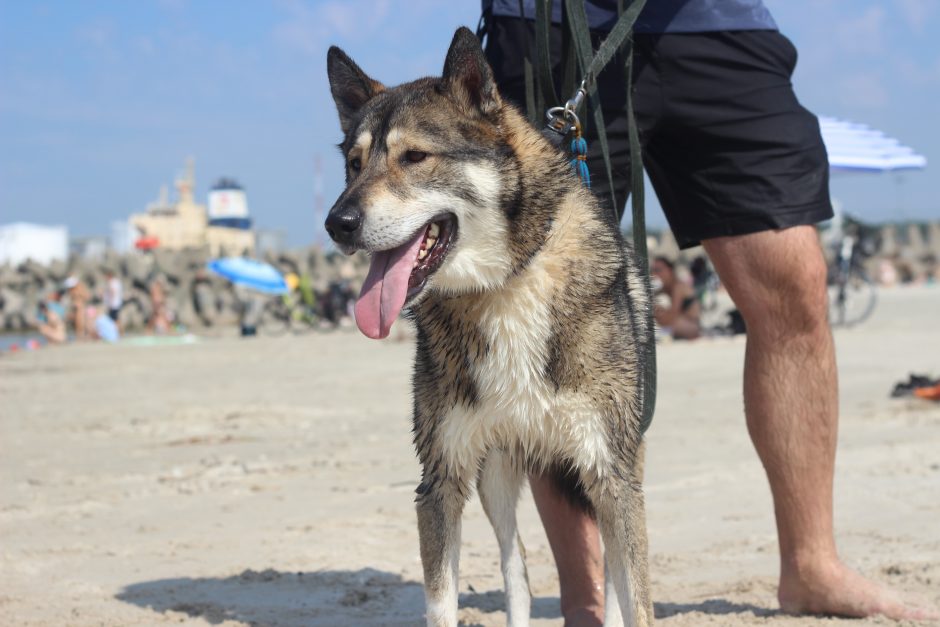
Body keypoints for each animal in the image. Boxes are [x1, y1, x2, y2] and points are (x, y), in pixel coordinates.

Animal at [326, 27, 648, 624]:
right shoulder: (441, 479)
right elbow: (442, 603)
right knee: (515, 567)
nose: (338, 223)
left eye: (414, 157)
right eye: (354, 164)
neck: (505, 284)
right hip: (494, 472)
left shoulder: (612, 475)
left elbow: (635, 600)